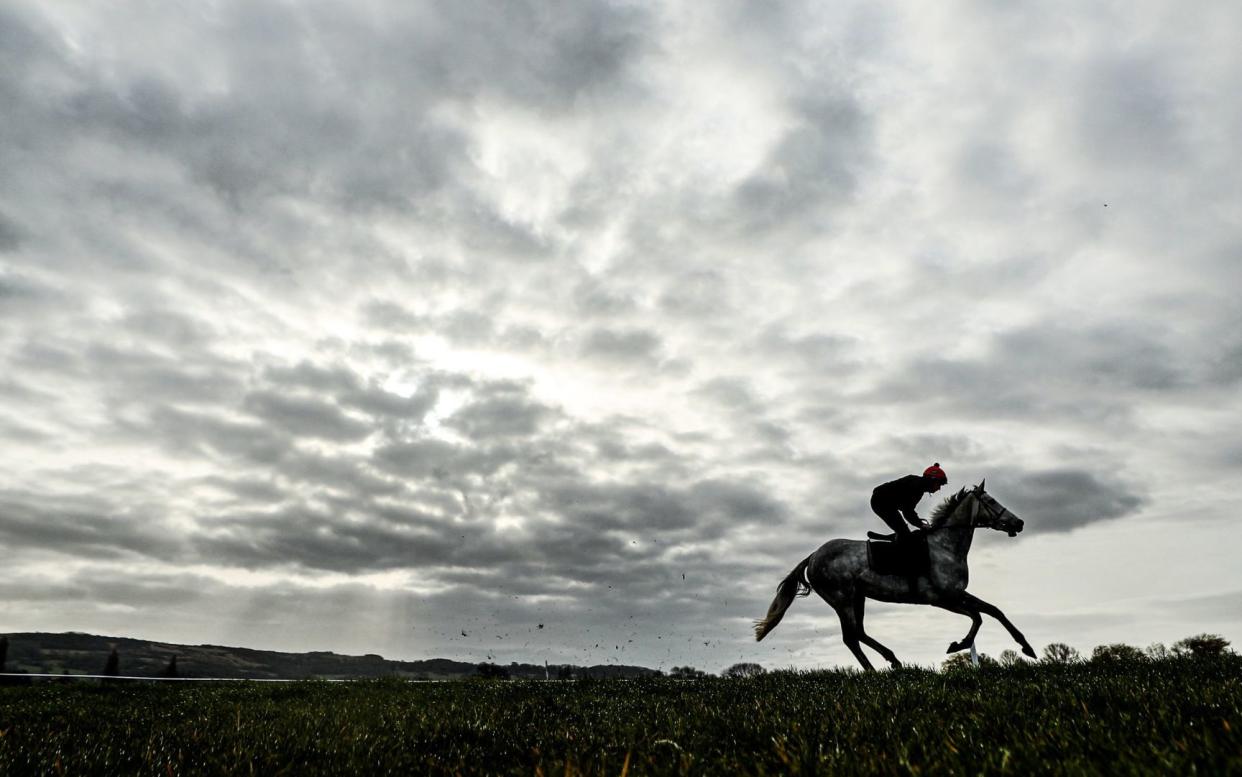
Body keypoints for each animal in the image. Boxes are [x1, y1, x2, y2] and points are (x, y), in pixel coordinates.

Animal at [755, 479, 1038, 665]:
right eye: (990, 501)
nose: (1019, 523)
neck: (945, 545)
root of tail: (813, 556)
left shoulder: (957, 593)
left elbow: (993, 611)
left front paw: (1028, 647)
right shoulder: (941, 599)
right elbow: (978, 617)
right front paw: (959, 644)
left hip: (857, 597)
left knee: (857, 634)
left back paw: (888, 663)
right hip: (841, 597)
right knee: (852, 636)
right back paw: (881, 667)